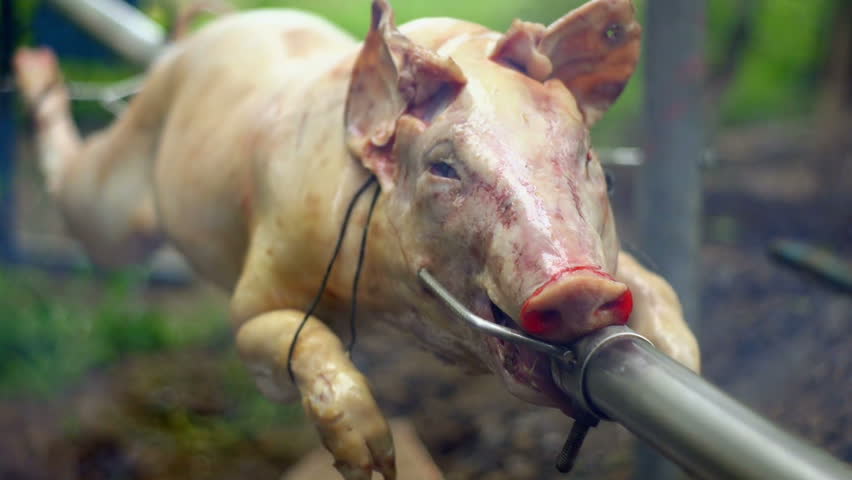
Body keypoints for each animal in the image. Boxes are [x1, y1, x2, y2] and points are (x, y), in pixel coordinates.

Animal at [14, 0, 699, 478]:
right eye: (443, 166)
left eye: (589, 159)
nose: (576, 285)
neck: (389, 311)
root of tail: (199, 35)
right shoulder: (256, 290)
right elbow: (278, 333)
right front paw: (375, 465)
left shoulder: (621, 265)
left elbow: (655, 287)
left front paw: (687, 367)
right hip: (114, 196)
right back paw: (34, 66)